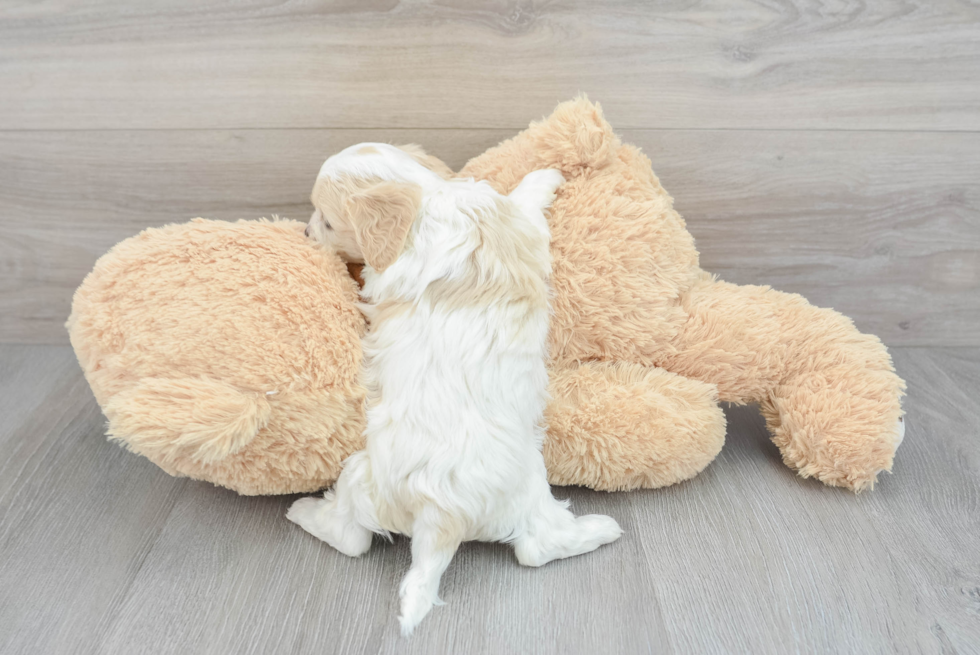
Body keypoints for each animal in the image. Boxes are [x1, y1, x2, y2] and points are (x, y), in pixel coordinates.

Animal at [288, 142, 620, 636]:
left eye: (327, 221)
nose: (307, 232)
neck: (427, 201)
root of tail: (443, 515)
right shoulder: (520, 224)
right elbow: (526, 200)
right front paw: (546, 174)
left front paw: (545, 173)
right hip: (508, 484)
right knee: (534, 546)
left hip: (374, 476)